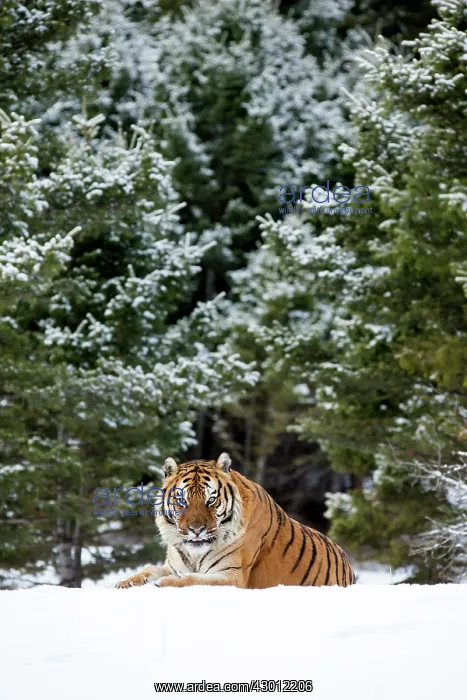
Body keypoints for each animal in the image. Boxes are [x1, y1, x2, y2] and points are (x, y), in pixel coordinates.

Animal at [115, 452, 355, 589]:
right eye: (182, 500)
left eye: (211, 500)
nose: (196, 530)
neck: (194, 553)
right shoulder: (173, 565)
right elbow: (149, 569)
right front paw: (126, 582)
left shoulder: (233, 575)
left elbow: (194, 579)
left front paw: (163, 584)